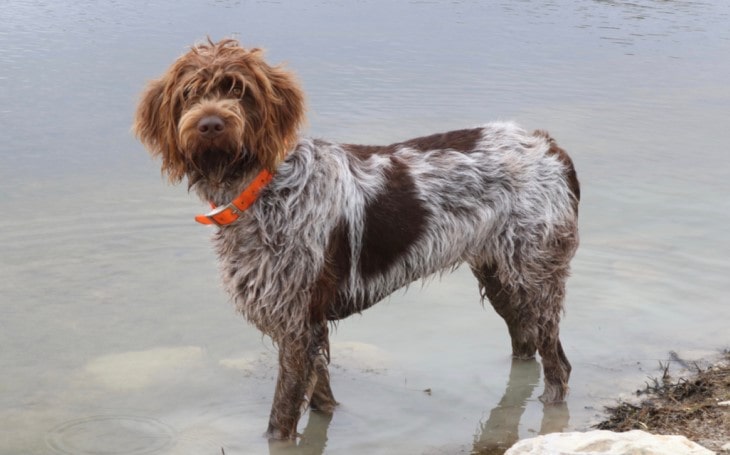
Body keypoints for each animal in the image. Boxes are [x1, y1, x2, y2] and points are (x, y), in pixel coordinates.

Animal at [134, 40, 580, 442]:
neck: (264, 187)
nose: (210, 124)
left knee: (558, 365)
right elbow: (322, 402)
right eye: (190, 93)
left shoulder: (297, 327)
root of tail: (548, 144)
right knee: (525, 349)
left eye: (240, 91)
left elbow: (281, 420)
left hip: (535, 278)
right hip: (501, 276)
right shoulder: (308, 330)